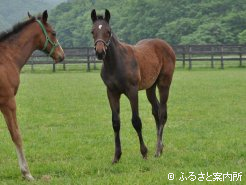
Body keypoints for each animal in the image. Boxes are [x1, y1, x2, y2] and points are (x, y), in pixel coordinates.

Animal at [90, 9, 175, 163]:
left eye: (108, 31)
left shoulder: (132, 91)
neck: (116, 63)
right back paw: (160, 148)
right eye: (92, 31)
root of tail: (166, 45)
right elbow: (115, 122)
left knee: (162, 113)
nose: (100, 52)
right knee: (156, 111)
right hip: (150, 87)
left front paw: (144, 152)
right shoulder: (111, 92)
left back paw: (157, 150)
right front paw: (116, 156)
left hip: (164, 83)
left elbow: (136, 121)